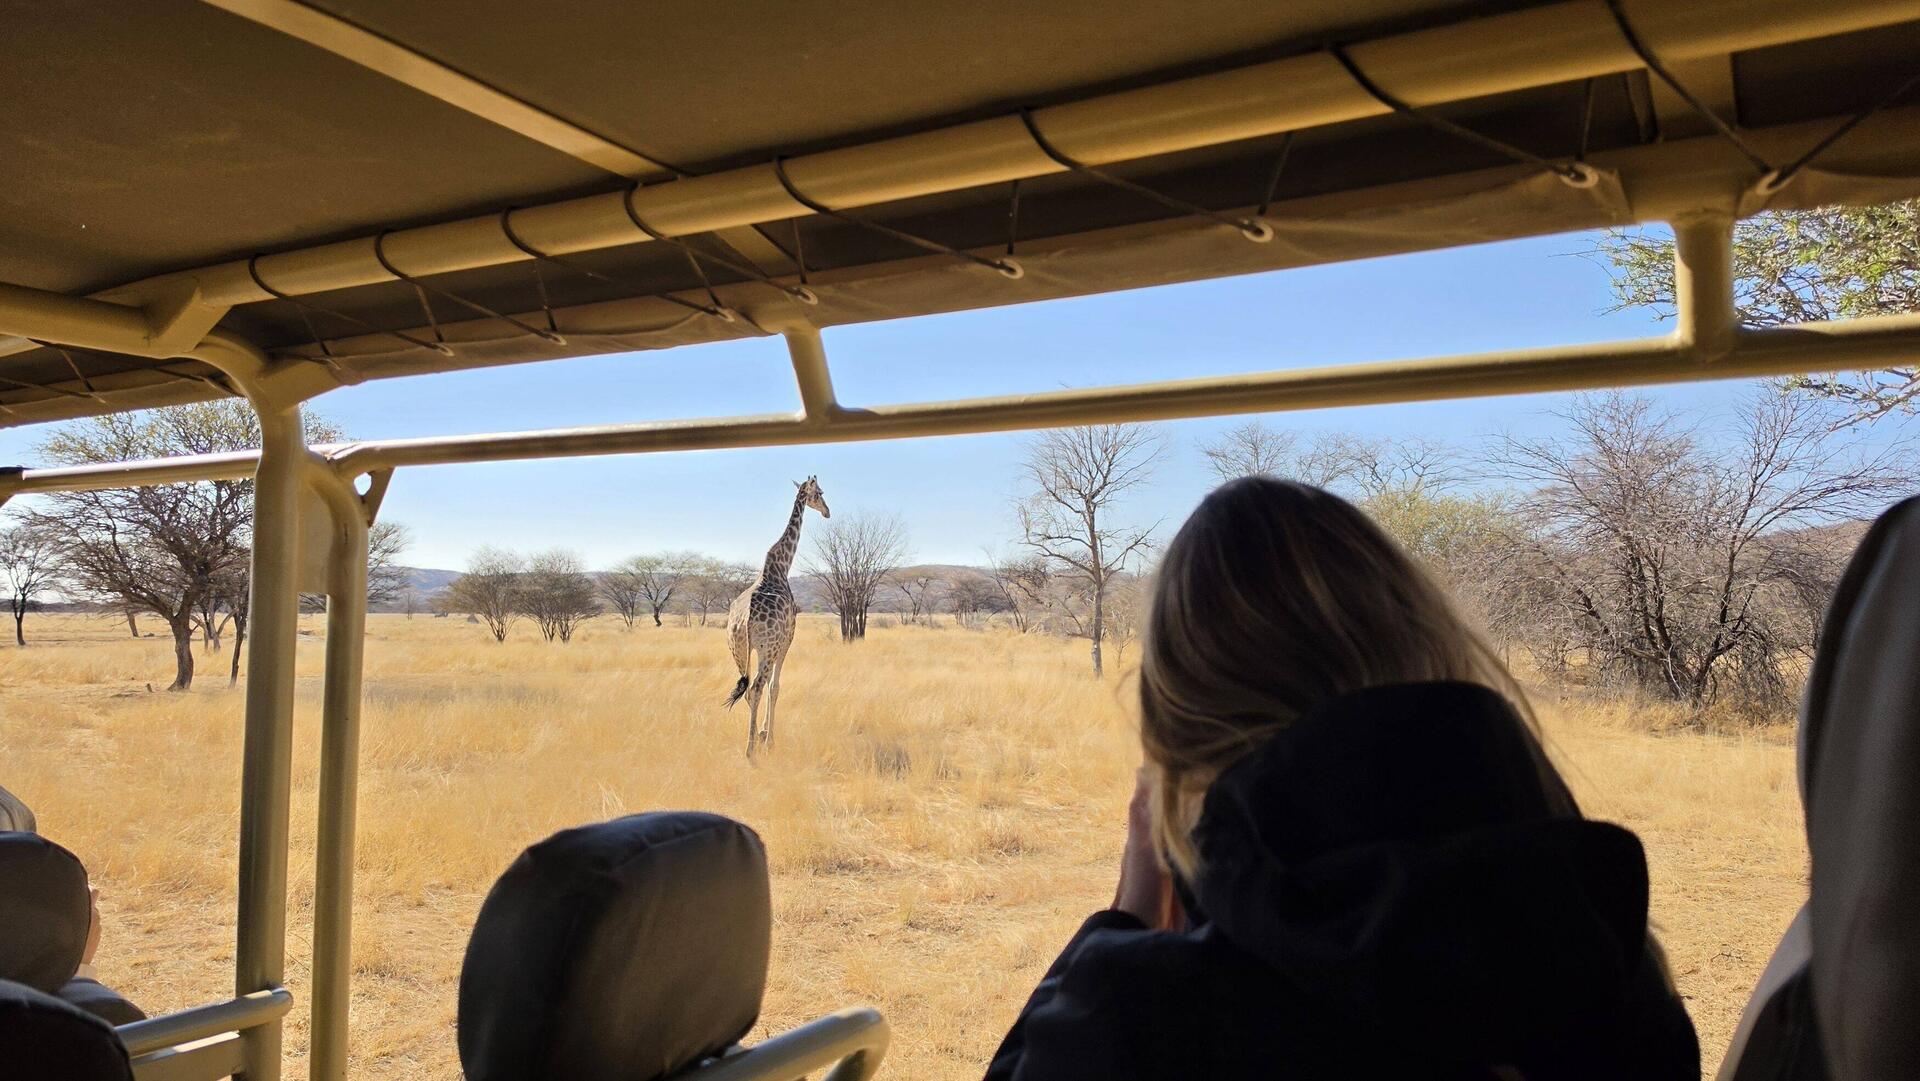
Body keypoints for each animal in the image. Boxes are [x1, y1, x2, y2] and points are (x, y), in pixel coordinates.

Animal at [724, 476, 829, 758]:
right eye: (820, 493)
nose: (827, 512)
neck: (781, 566)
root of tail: (744, 620)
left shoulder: (767, 648)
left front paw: (762, 733)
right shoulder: (786, 640)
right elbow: (775, 687)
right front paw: (768, 738)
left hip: (739, 650)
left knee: (747, 689)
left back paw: (751, 743)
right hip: (767, 648)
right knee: (757, 687)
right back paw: (750, 752)